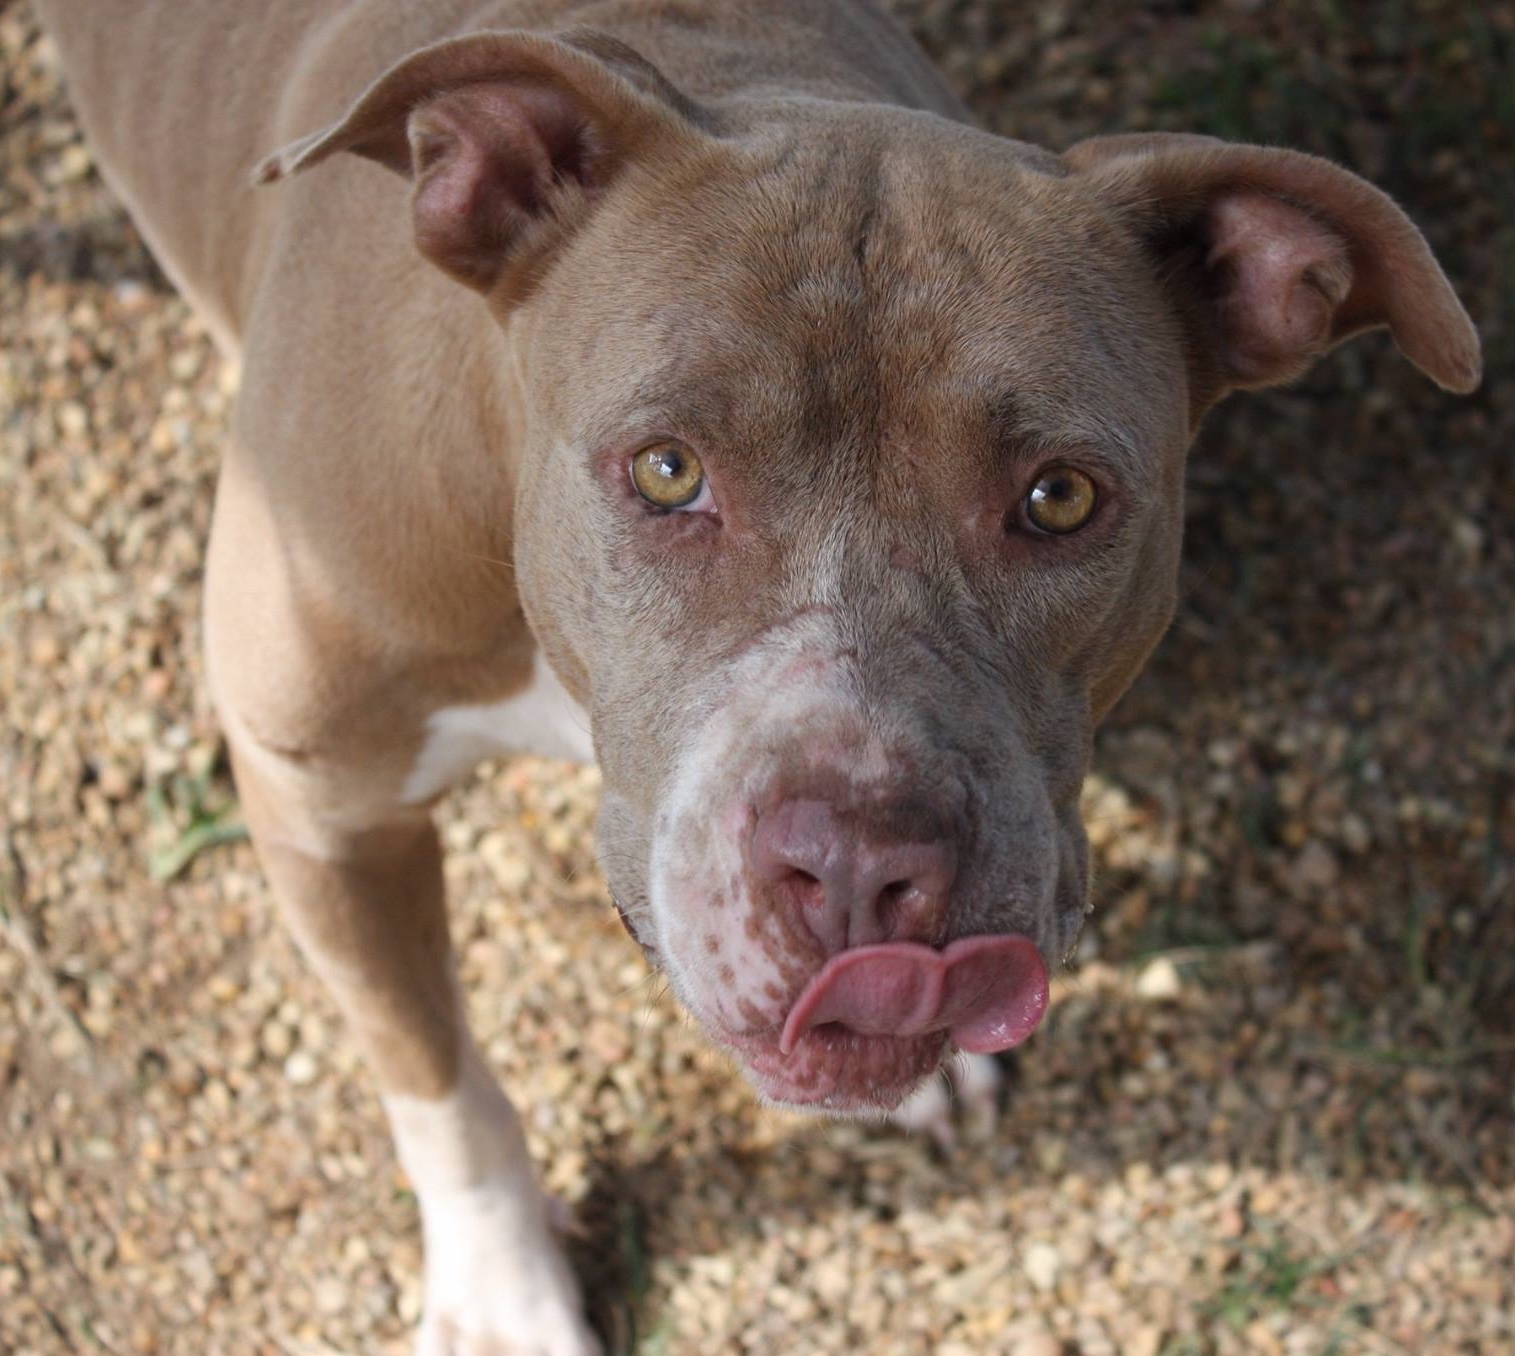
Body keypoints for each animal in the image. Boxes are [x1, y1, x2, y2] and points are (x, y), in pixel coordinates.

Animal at [38, 2, 1478, 1356]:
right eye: (667, 470)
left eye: (1059, 498)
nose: (857, 864)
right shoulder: (321, 804)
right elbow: (435, 1078)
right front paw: (501, 1292)